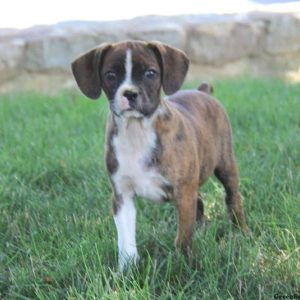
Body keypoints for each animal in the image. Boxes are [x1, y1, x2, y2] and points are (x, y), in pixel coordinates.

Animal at [71, 38, 248, 270]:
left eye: (150, 73)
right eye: (110, 75)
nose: (130, 93)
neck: (137, 131)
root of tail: (203, 91)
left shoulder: (183, 193)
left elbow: (183, 237)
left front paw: (183, 266)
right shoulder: (122, 196)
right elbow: (126, 240)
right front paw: (126, 271)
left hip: (226, 165)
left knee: (233, 198)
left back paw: (242, 232)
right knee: (200, 202)